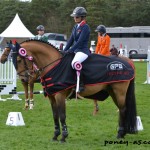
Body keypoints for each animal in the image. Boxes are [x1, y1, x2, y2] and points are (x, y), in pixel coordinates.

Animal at [2, 39, 138, 142]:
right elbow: (55, 115)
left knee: (123, 109)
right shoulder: (52, 97)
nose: (24, 79)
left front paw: (63, 136)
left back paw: (120, 134)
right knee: (122, 109)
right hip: (112, 91)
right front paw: (55, 135)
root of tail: (127, 62)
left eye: (19, 60)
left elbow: (62, 115)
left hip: (119, 91)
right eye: (13, 60)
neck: (53, 65)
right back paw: (122, 133)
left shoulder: (60, 96)